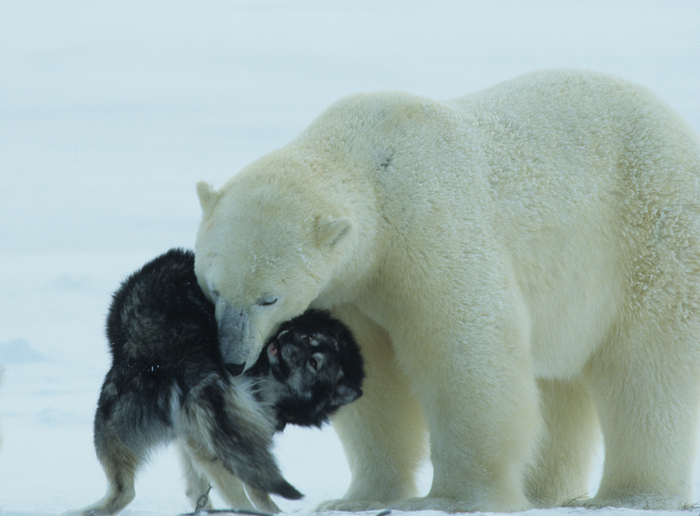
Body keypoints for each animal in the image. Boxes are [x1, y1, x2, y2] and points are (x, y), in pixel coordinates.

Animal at [74, 248, 364, 512]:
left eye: (314, 363)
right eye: (306, 338)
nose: (286, 337)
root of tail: (187, 353)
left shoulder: (203, 434)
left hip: (111, 419)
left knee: (124, 492)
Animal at [194, 69, 700, 512]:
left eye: (268, 298)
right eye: (213, 289)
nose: (233, 360)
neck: (373, 163)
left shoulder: (429, 223)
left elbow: (465, 352)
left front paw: (453, 499)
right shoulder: (350, 289)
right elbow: (372, 383)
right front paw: (356, 500)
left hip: (651, 238)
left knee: (647, 372)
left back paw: (630, 495)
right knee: (557, 386)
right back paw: (543, 493)